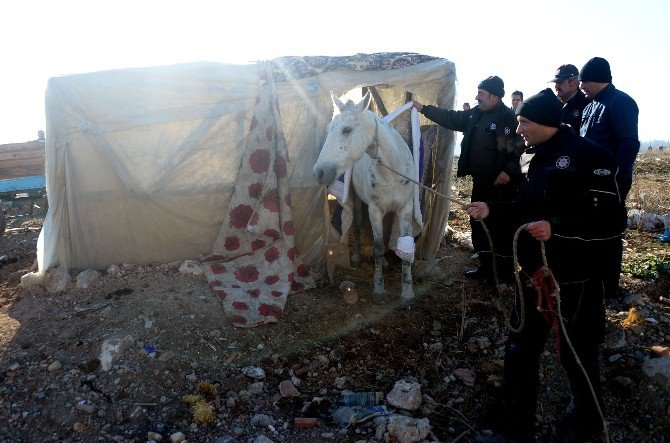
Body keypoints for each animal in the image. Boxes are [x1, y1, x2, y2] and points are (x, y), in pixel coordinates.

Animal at [314, 91, 418, 304]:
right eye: (328, 129)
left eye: (347, 129)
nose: (319, 173)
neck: (392, 173)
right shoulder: (375, 209)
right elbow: (377, 247)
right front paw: (379, 290)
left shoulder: (405, 208)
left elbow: (404, 246)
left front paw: (407, 291)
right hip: (359, 203)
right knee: (358, 223)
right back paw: (356, 257)